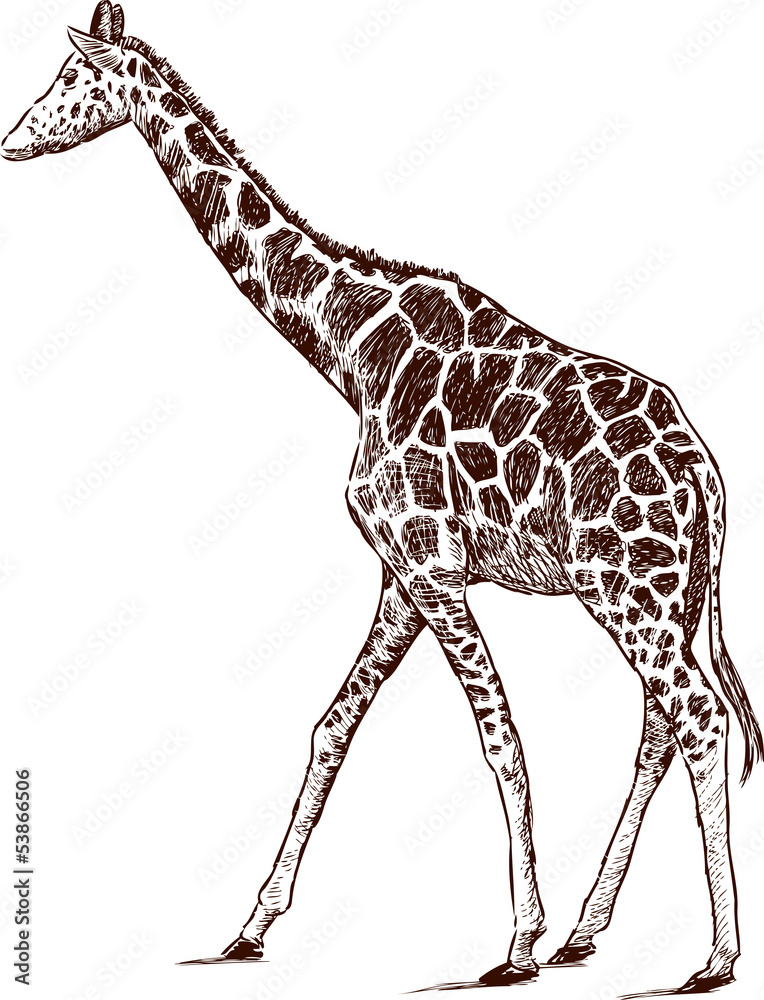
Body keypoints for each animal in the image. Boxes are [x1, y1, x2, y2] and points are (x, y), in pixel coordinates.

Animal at [2, 3, 761, 991]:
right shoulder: (402, 577)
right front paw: (252, 928)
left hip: (630, 589)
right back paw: (587, 935)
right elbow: (332, 726)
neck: (351, 348)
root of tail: (708, 476)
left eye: (67, 77)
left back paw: (713, 956)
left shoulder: (433, 568)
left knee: (699, 719)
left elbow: (500, 738)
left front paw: (516, 942)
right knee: (661, 724)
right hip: (660, 595)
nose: (13, 140)